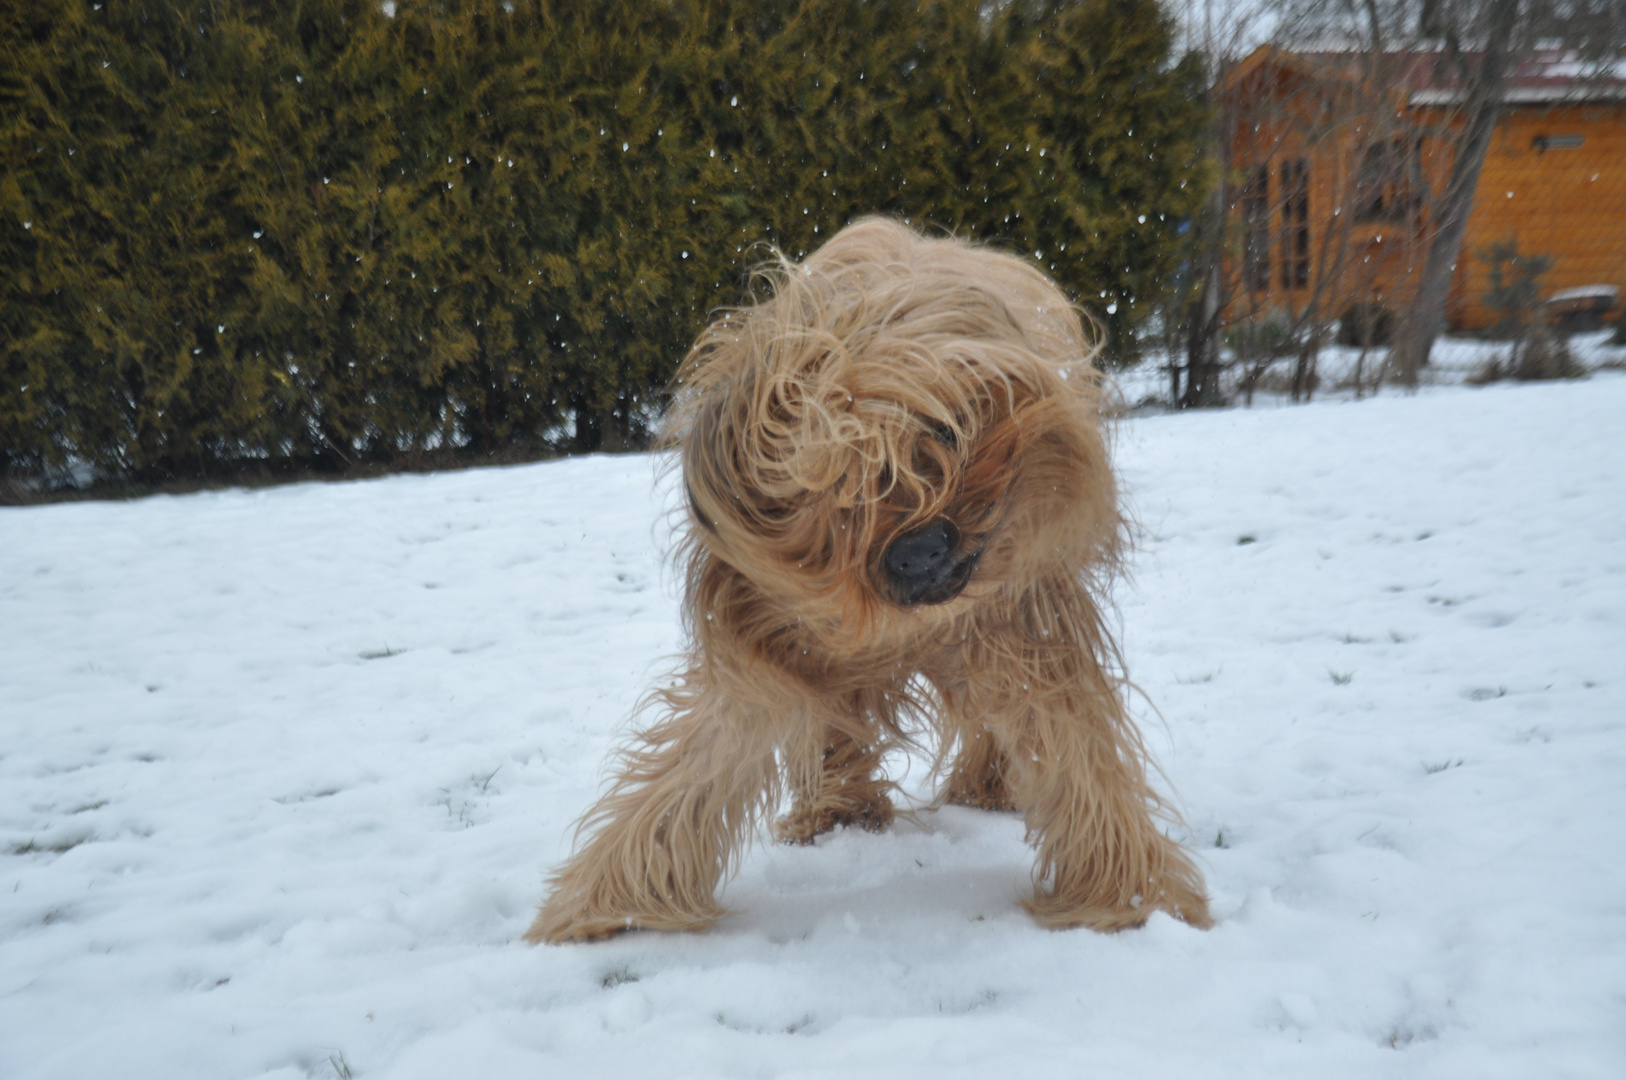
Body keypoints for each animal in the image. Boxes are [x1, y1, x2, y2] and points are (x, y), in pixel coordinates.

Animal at [526, 214, 1216, 943]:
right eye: (834, 498)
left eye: (945, 430)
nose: (918, 551)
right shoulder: (771, 634)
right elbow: (700, 763)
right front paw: (608, 908)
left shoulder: (1021, 611)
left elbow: (1067, 737)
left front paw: (1130, 895)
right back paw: (837, 810)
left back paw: (979, 787)